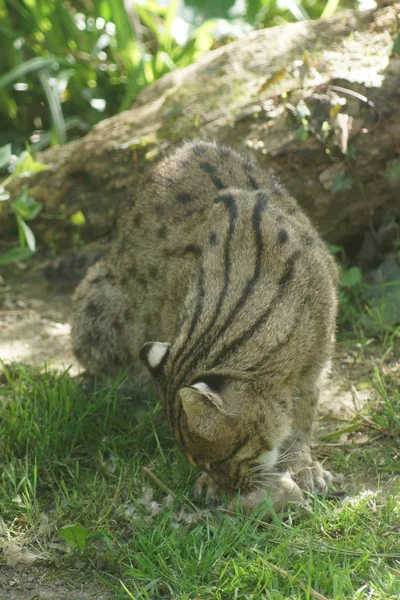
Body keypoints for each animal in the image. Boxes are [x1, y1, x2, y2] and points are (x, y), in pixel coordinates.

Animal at [71, 142, 338, 510]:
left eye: (222, 458)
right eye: (201, 462)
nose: (230, 489)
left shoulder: (318, 361)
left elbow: (303, 417)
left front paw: (301, 464)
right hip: (97, 302)